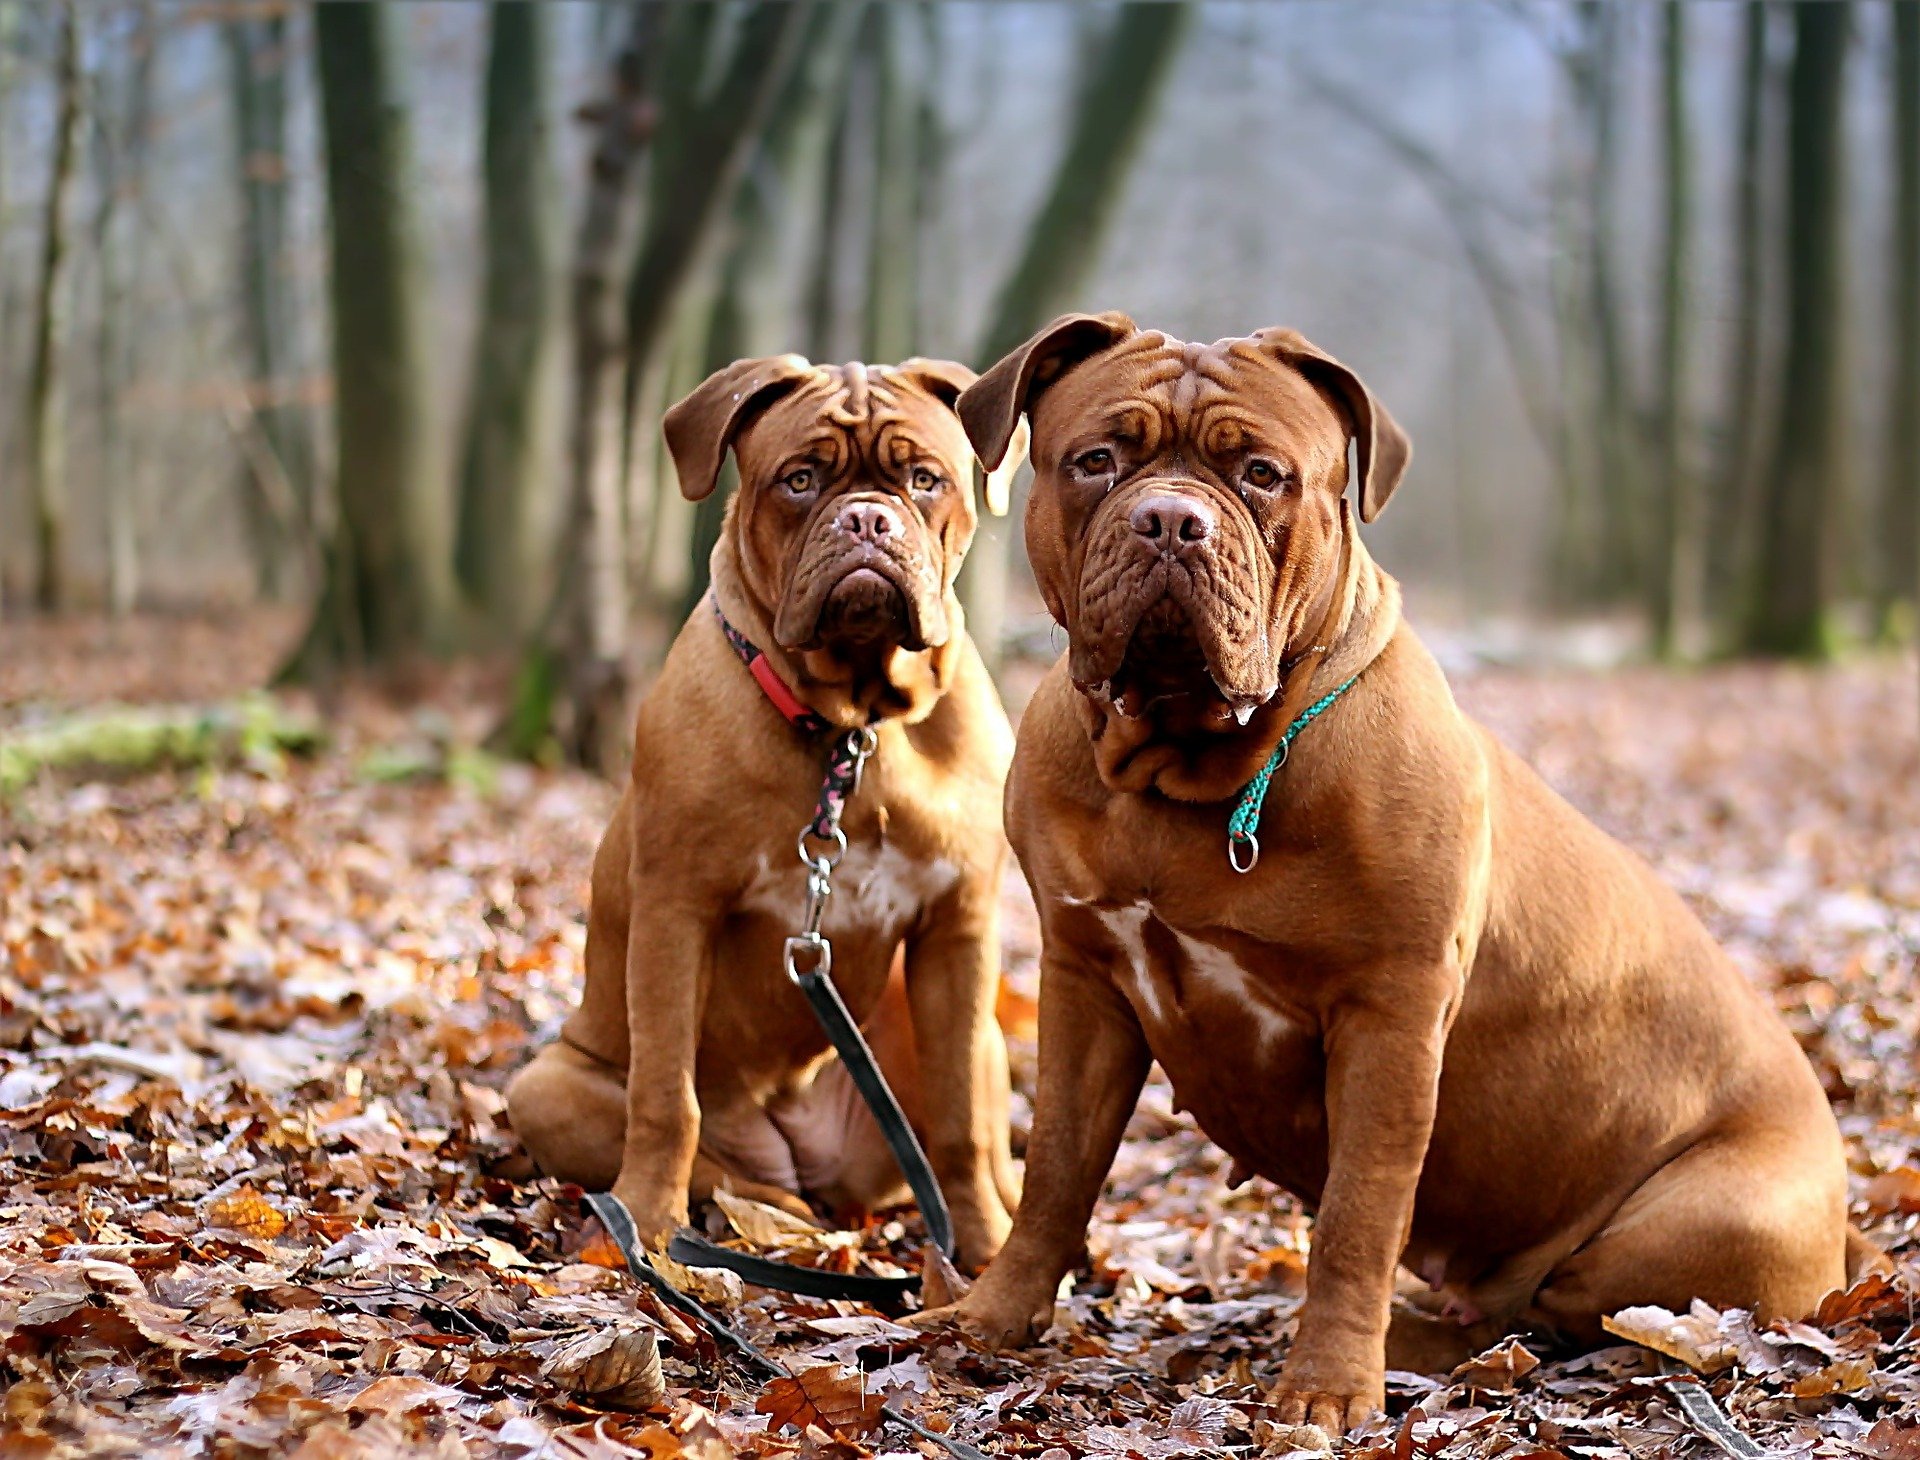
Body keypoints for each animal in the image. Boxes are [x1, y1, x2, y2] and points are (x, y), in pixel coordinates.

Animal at [506, 353, 1021, 1267]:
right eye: (800, 480)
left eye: (924, 479)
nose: (864, 519)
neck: (855, 726)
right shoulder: (677, 912)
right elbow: (665, 1097)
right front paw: (647, 1220)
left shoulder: (957, 930)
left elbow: (961, 1118)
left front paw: (987, 1252)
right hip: (550, 1084)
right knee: (720, 1163)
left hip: (967, 1032)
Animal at [917, 316, 1873, 1429]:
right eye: (1096, 460)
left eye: (1262, 474)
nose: (1169, 520)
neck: (1186, 771)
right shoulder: (1085, 979)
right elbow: (1058, 1170)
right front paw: (987, 1318)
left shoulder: (1390, 1020)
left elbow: (1357, 1217)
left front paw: (1327, 1386)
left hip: (1688, 1225)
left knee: (1565, 1317)